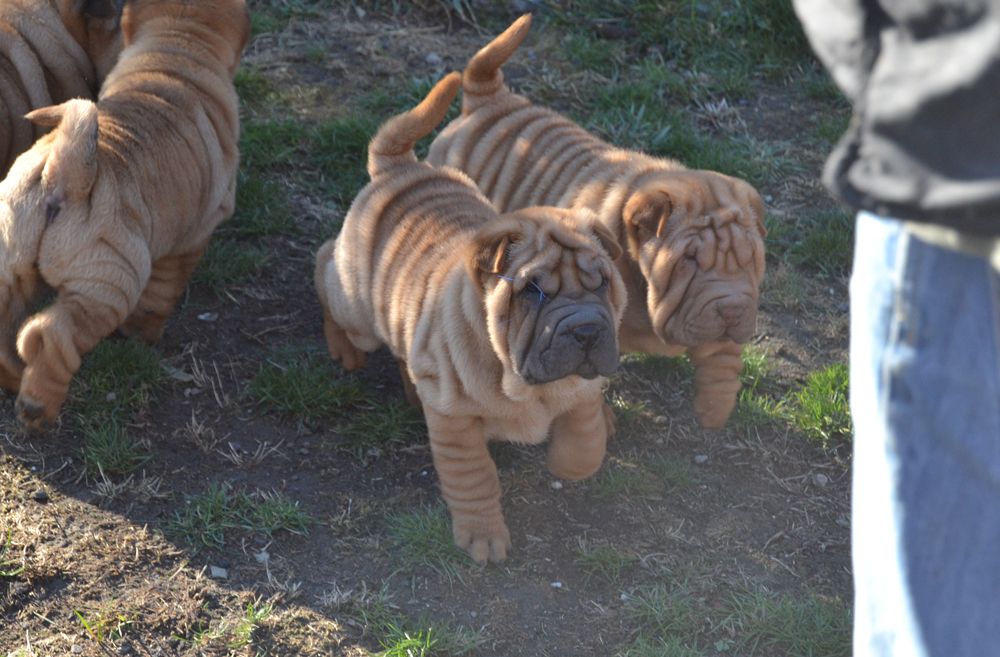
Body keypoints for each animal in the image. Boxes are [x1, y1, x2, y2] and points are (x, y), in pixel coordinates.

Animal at [314, 73, 624, 564]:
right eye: (533, 291)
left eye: (602, 283)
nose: (586, 329)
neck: (522, 381)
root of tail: (398, 167)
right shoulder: (455, 420)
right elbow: (473, 476)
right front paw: (483, 536)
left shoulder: (583, 388)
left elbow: (586, 438)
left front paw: (568, 463)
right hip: (356, 308)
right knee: (325, 265)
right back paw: (344, 350)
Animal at [428, 15, 764, 428]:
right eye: (688, 262)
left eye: (752, 261)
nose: (732, 308)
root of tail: (486, 96)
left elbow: (722, 359)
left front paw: (715, 408)